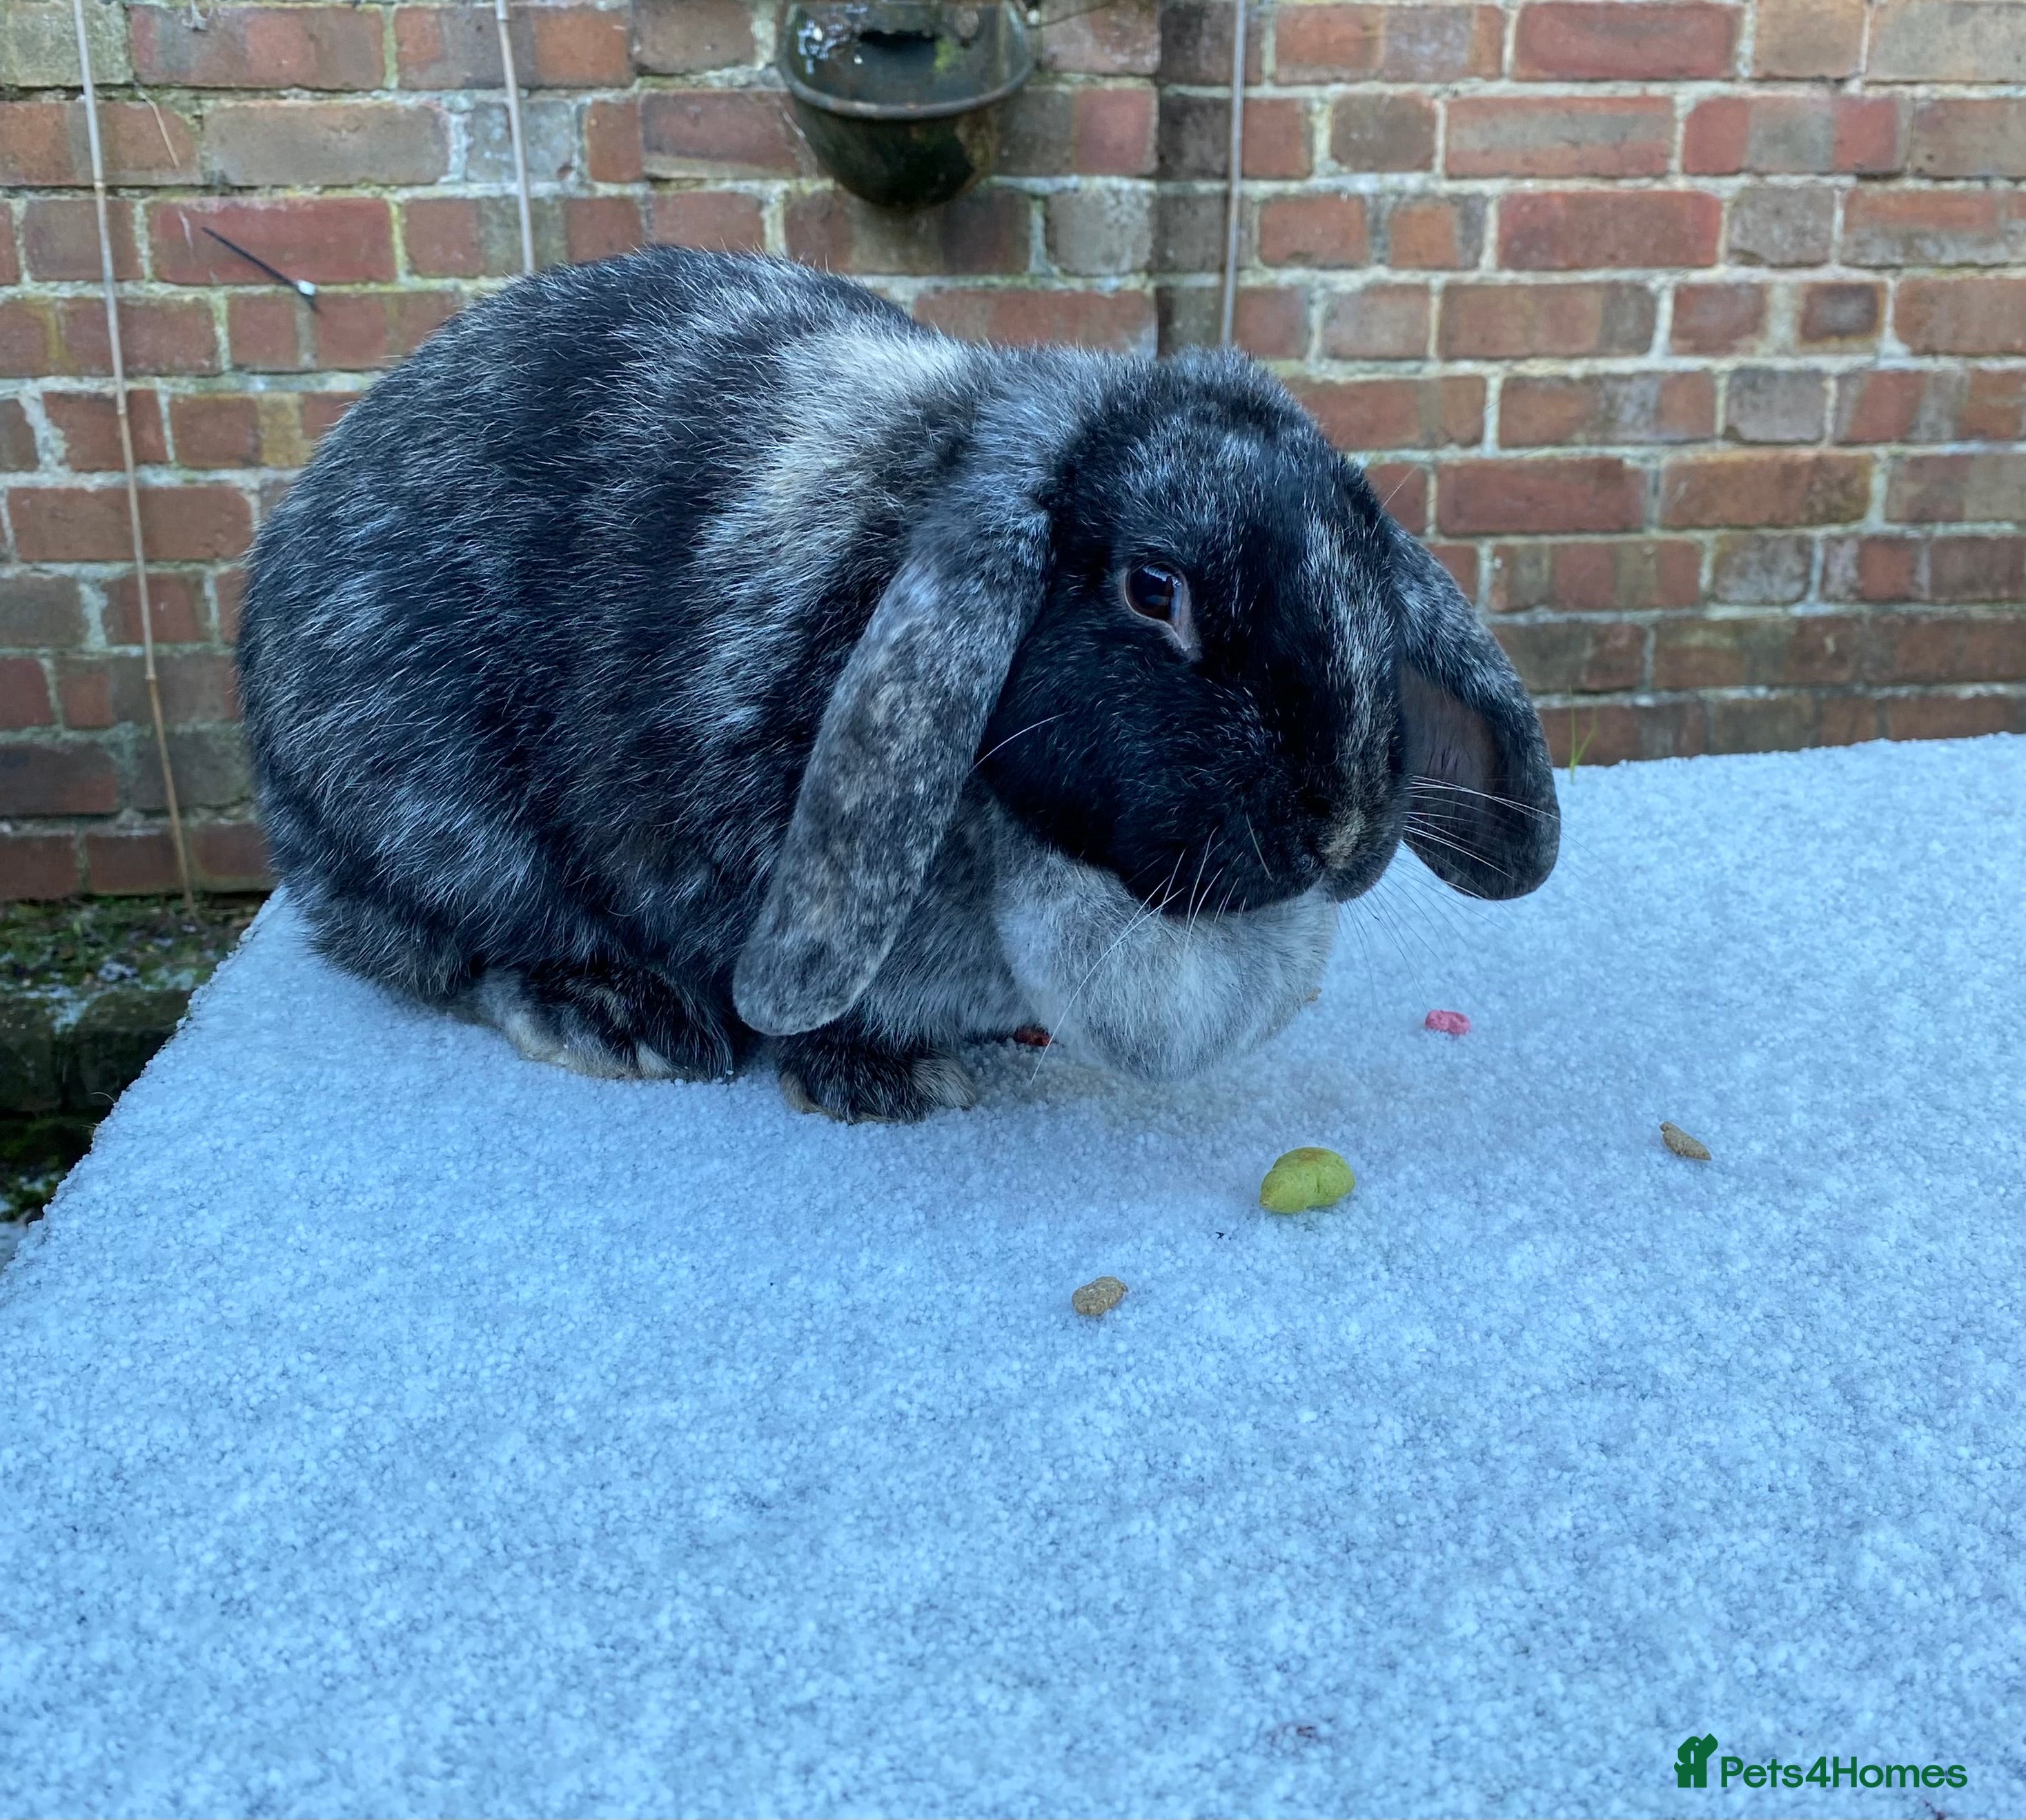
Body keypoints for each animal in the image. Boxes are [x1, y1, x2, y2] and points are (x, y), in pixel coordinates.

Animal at [238, 248, 1560, 1123]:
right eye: (1154, 589)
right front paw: (894, 1076)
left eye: (1369, 563)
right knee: (450, 945)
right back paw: (618, 1017)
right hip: (435, 819)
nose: (1340, 833)